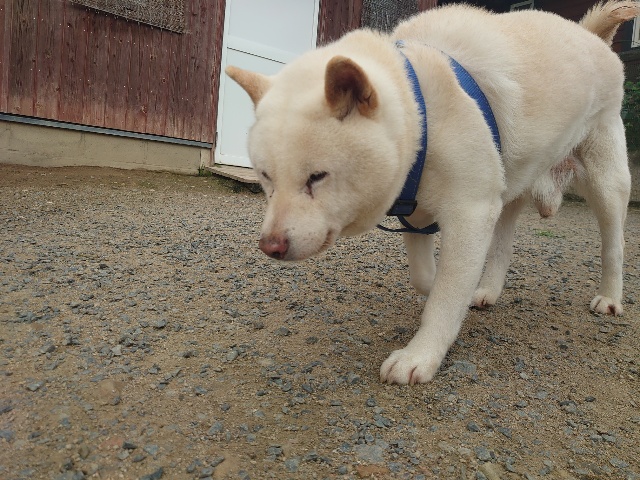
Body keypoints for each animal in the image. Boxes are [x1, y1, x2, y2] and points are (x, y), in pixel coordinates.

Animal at [226, 1, 638, 384]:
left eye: (317, 176)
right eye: (266, 177)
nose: (271, 246)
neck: (423, 110)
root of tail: (589, 35)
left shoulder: (471, 212)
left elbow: (445, 294)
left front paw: (420, 356)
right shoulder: (417, 207)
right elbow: (428, 278)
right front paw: (443, 288)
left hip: (605, 179)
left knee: (614, 244)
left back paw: (610, 298)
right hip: (510, 185)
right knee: (502, 243)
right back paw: (487, 290)